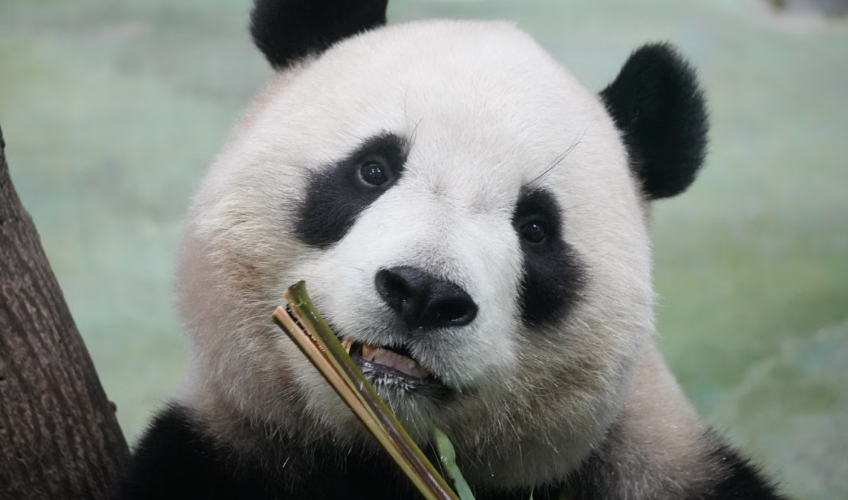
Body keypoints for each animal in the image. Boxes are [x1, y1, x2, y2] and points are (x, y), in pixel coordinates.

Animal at [119, 0, 791, 499]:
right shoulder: (223, 451)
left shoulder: (651, 464)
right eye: (373, 170)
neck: (381, 450)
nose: (424, 292)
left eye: (536, 228)